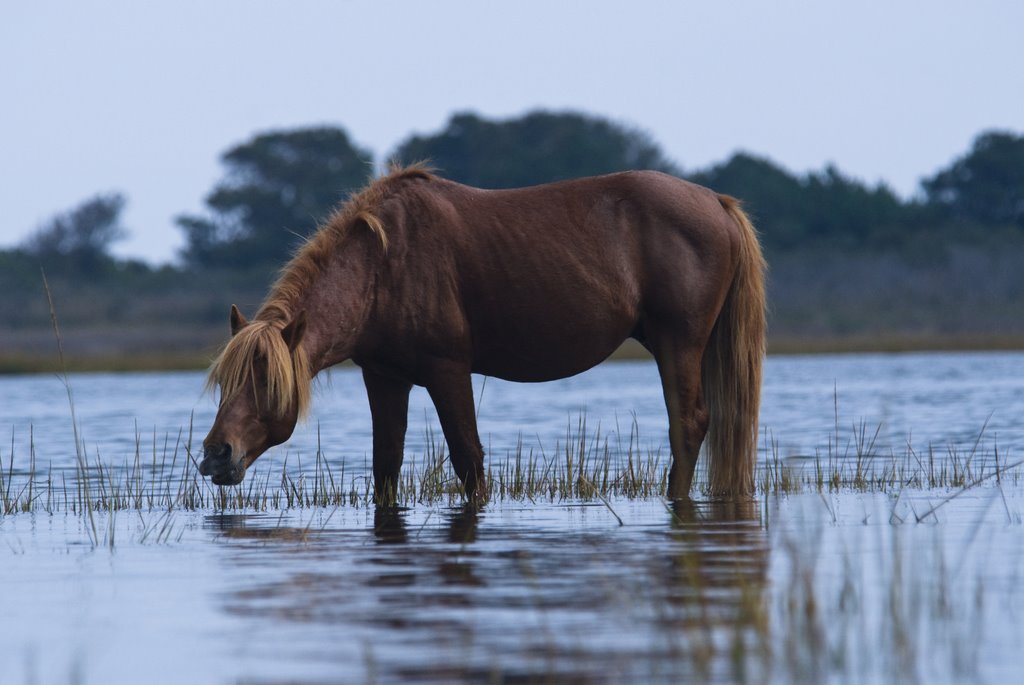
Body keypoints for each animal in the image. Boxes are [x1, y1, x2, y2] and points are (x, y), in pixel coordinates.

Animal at [199, 164, 765, 497]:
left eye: (266, 382)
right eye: (225, 382)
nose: (215, 455)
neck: (382, 266)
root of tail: (716, 202)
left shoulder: (448, 372)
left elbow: (469, 461)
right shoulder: (385, 378)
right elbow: (387, 464)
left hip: (678, 343)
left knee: (687, 425)